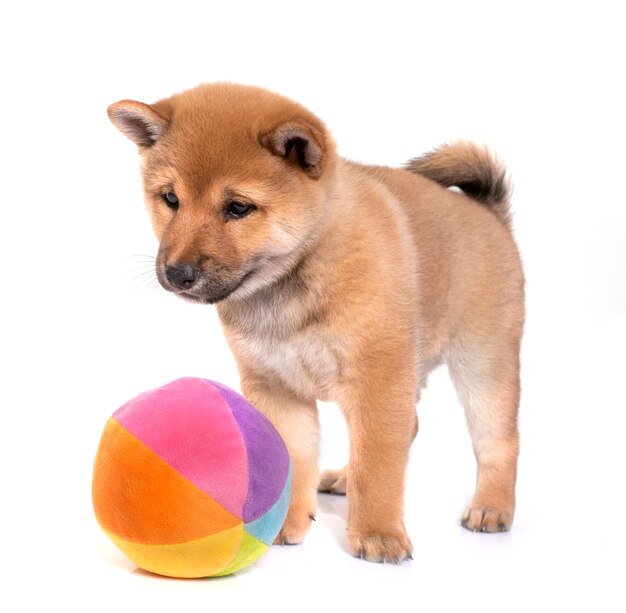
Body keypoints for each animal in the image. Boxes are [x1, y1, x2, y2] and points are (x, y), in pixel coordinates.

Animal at [107, 83, 520, 560]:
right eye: (171, 199)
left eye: (238, 207)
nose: (177, 273)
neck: (293, 280)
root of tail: (487, 212)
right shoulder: (277, 387)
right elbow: (293, 459)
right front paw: (285, 522)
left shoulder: (377, 382)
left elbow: (379, 466)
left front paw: (378, 533)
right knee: (409, 428)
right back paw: (343, 478)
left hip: (482, 366)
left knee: (498, 442)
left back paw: (491, 508)